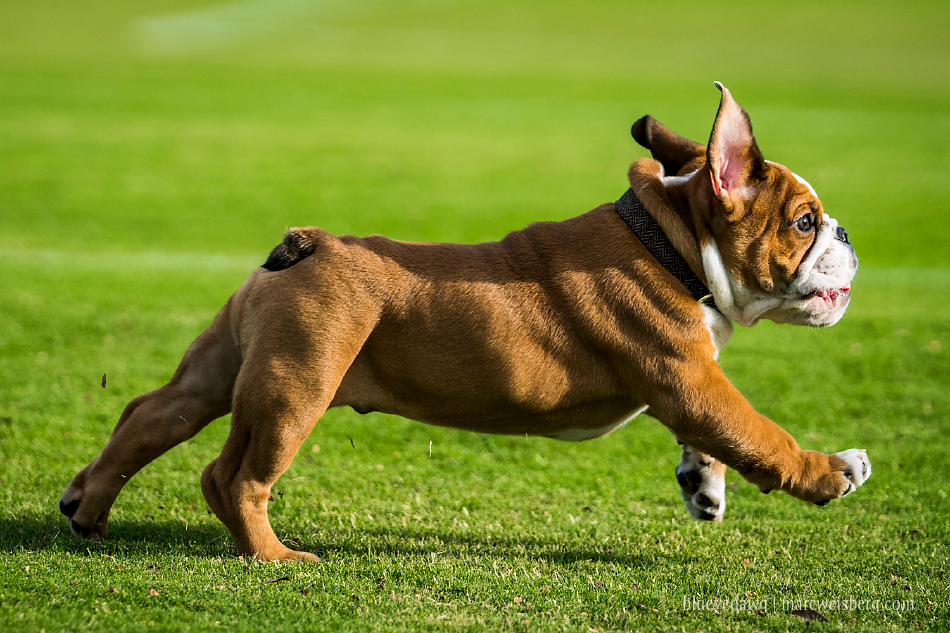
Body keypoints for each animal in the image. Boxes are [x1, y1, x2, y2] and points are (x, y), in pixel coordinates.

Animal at [63, 82, 872, 556]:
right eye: (804, 222)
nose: (847, 235)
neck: (671, 240)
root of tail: (313, 242)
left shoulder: (696, 381)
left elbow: (720, 438)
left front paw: (703, 484)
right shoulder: (689, 381)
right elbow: (760, 434)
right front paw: (829, 471)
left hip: (224, 367)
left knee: (149, 416)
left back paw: (87, 508)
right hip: (295, 387)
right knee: (231, 475)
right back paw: (275, 555)